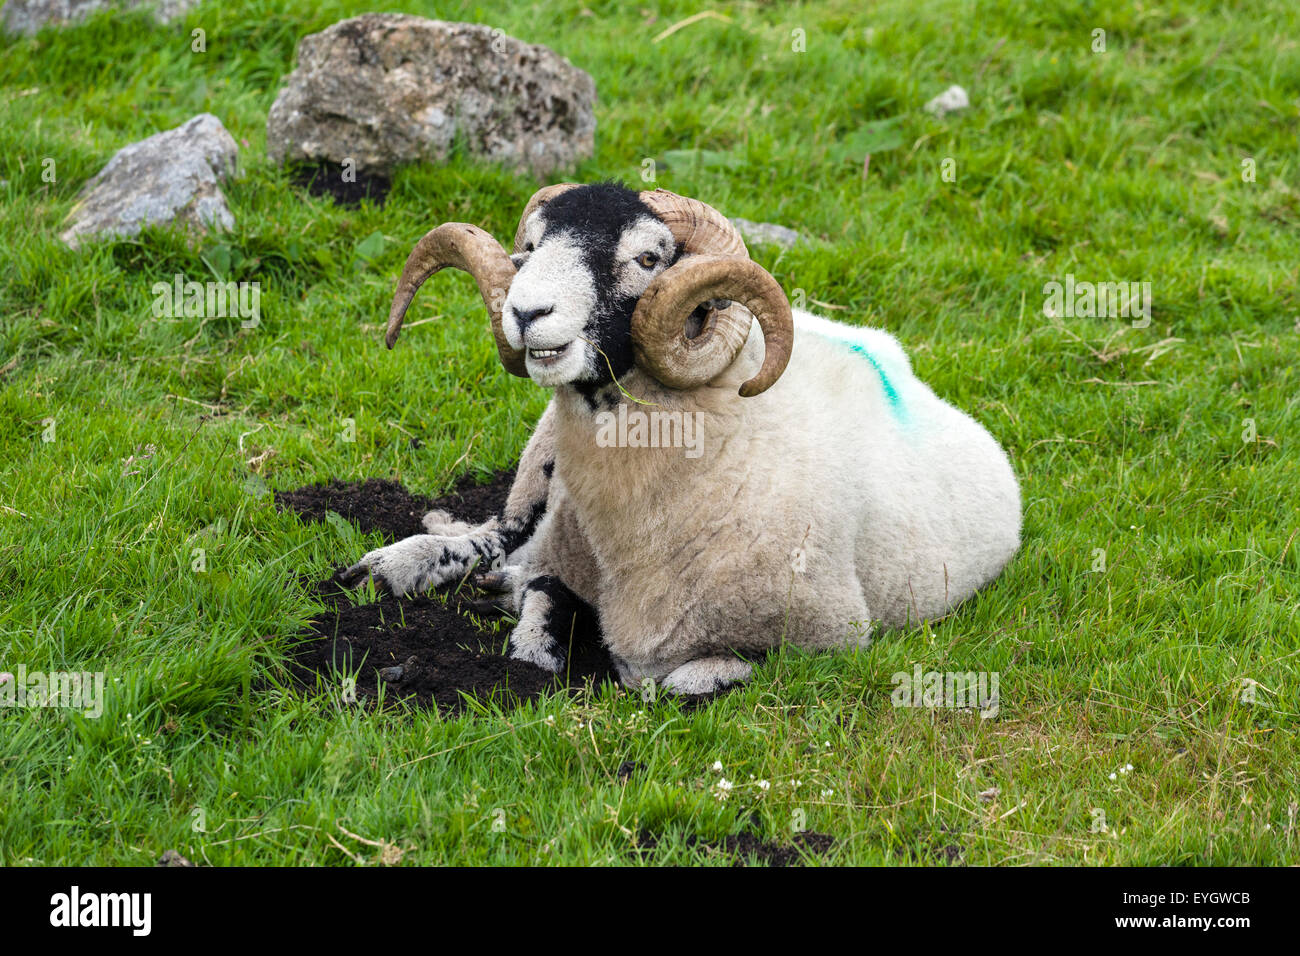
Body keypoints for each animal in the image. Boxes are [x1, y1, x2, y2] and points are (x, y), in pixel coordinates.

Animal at [340, 183, 1019, 697]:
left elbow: (675, 683)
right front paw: (523, 626)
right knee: (498, 532)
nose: (526, 314)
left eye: (647, 259)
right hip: (538, 468)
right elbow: (541, 605)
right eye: (528, 250)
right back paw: (399, 564)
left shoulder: (828, 640)